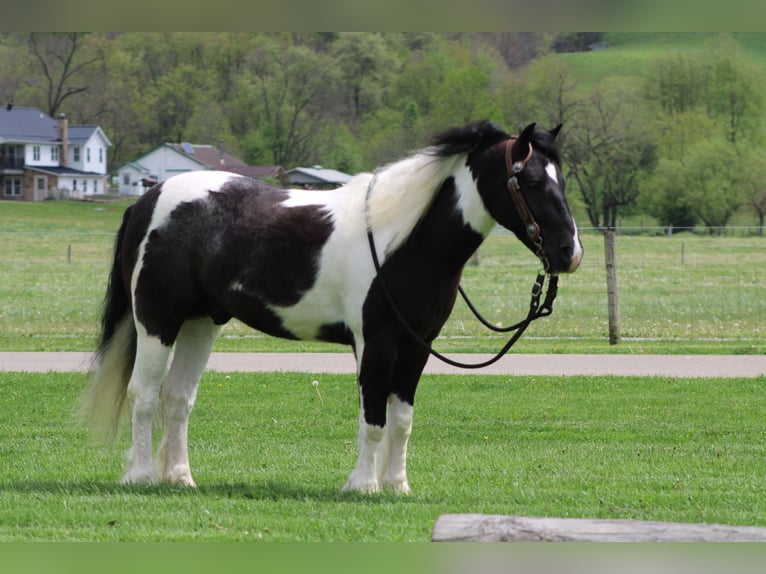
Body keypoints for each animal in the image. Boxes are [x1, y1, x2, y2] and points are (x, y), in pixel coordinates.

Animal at [79, 120, 583, 493]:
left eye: (561, 179)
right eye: (530, 180)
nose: (569, 253)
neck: (402, 239)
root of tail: (147, 200)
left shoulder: (417, 348)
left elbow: (401, 421)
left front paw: (396, 486)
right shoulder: (376, 344)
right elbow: (373, 419)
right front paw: (363, 486)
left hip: (202, 323)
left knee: (178, 398)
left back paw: (180, 478)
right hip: (157, 320)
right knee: (144, 395)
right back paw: (141, 475)